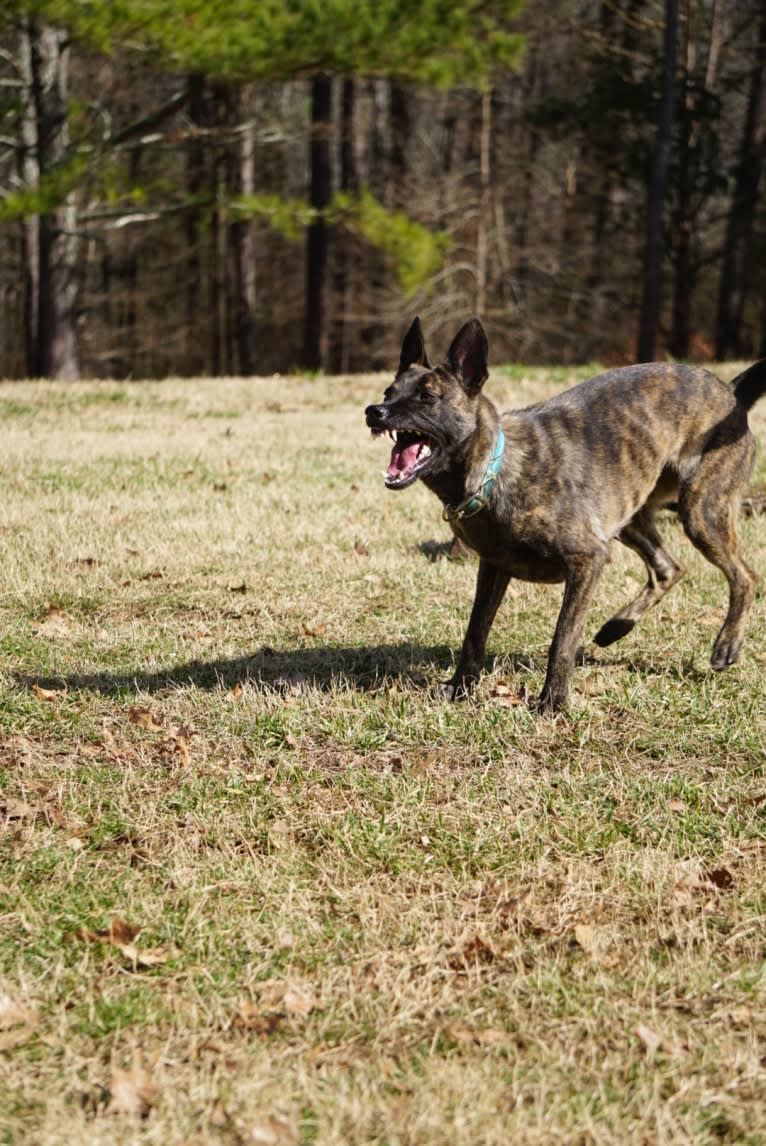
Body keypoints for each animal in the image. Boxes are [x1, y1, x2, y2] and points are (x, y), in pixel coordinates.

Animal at [362, 314, 766, 705]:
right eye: (388, 393)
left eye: (427, 396)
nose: (373, 411)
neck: (495, 469)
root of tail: (731, 391)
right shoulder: (493, 568)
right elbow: (476, 631)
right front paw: (460, 687)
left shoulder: (588, 559)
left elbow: (563, 637)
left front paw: (553, 701)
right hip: (629, 518)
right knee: (669, 568)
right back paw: (616, 627)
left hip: (701, 511)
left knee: (744, 577)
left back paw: (726, 645)